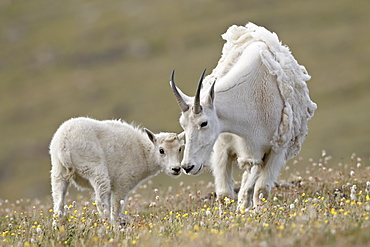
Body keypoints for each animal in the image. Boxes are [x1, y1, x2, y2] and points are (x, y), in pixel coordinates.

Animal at [171, 22, 318, 210]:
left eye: (204, 123)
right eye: (183, 125)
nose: (188, 166)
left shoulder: (275, 150)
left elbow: (260, 190)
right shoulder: (222, 148)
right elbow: (224, 194)